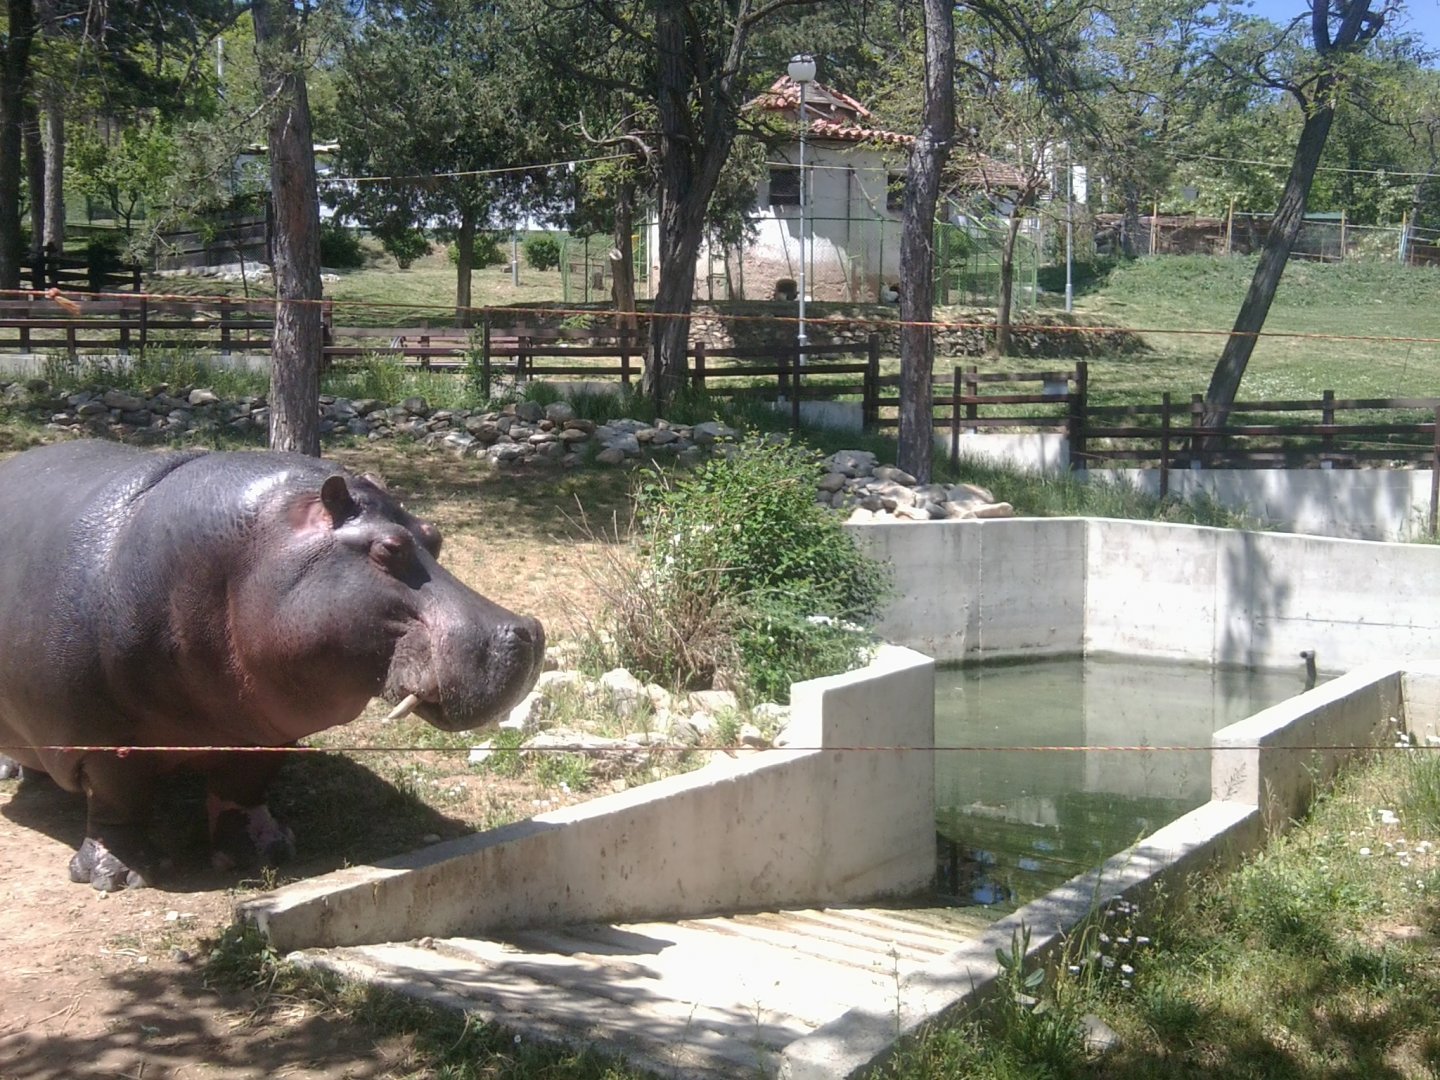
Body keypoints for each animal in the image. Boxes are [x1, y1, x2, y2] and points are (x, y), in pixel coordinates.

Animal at [0, 440, 544, 890]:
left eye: (435, 536)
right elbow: (120, 801)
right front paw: (122, 877)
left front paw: (266, 852)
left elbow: (245, 785)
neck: (247, 555)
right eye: (387, 549)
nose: (530, 631)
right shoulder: (105, 738)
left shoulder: (262, 727)